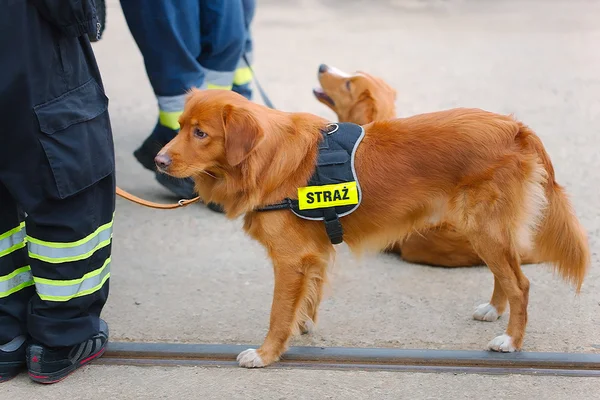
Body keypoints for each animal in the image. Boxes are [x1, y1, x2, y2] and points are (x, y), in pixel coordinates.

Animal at [155, 88, 592, 368]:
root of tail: (515, 128)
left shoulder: (291, 258)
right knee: (508, 273)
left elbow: (278, 312)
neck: (264, 157)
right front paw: (304, 324)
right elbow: (308, 296)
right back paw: (493, 310)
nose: (159, 161)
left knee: (521, 283)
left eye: (201, 133)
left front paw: (266, 354)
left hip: (483, 228)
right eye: (179, 126)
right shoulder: (315, 253)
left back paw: (512, 341)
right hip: (483, 230)